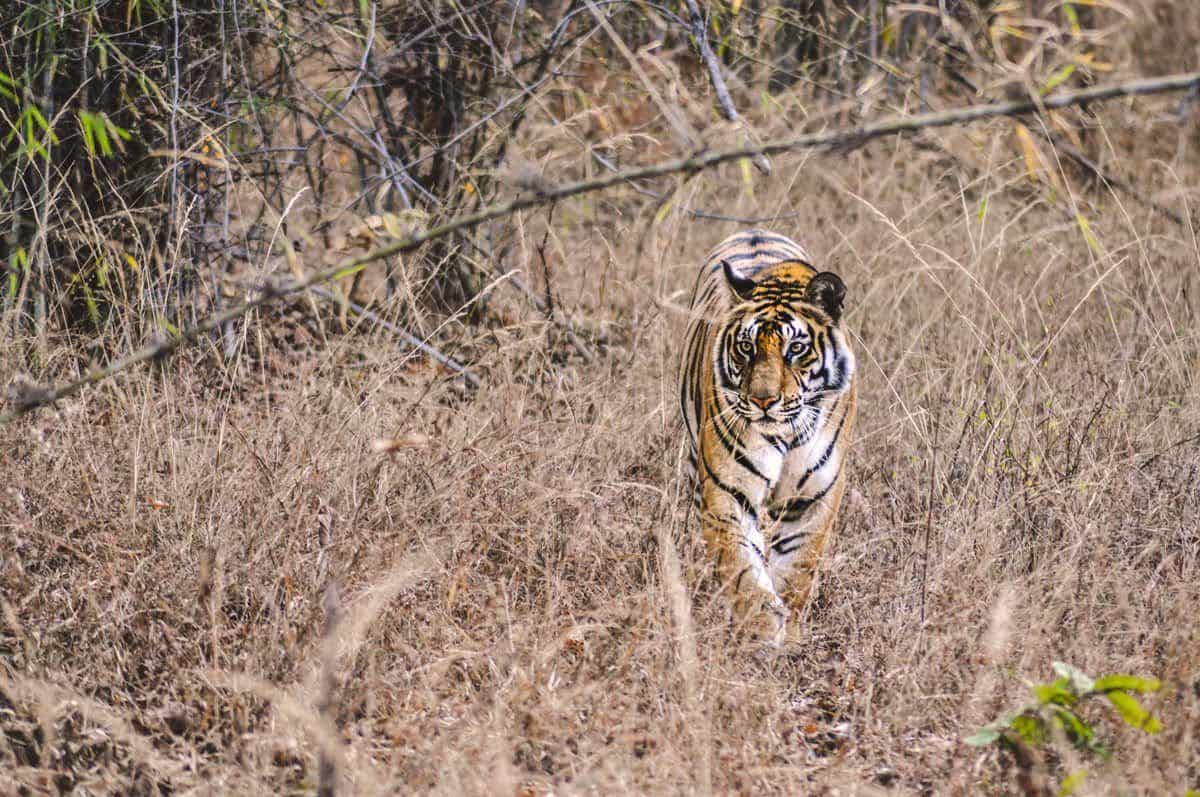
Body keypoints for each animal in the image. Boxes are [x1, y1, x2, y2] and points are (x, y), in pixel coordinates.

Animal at [681, 229, 859, 648]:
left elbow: (797, 569)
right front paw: (761, 628)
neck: (787, 431)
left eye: (796, 348)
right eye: (746, 347)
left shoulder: (814, 498)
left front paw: (789, 633)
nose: (763, 400)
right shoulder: (727, 493)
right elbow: (742, 569)